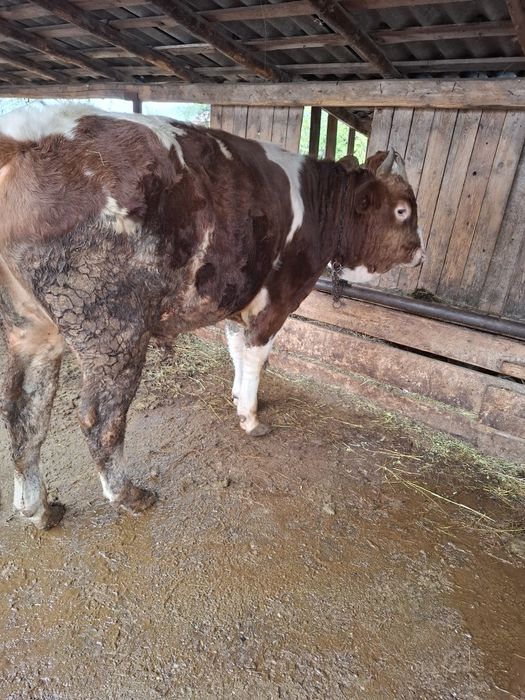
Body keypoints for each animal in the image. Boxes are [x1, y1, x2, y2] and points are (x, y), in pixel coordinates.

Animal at [0, 103, 424, 529]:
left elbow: (237, 349)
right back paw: (129, 495)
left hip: (30, 326)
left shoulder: (236, 298)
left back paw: (37, 509)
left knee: (23, 410)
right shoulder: (277, 300)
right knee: (99, 418)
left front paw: (237, 396)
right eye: (403, 210)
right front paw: (251, 418)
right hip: (112, 327)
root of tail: (26, 137)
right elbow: (257, 357)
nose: (421, 254)